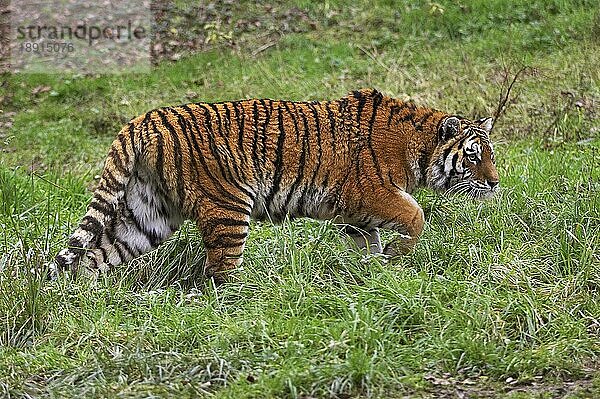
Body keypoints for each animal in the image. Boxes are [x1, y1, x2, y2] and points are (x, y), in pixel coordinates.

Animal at [52, 89, 502, 284]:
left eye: (490, 153)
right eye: (474, 156)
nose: (496, 183)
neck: (419, 148)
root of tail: (145, 119)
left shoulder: (356, 213)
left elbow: (370, 242)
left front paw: (376, 271)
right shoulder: (374, 194)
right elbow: (416, 214)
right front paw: (397, 256)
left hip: (147, 216)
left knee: (96, 256)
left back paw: (83, 298)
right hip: (228, 207)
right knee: (219, 271)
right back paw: (247, 300)